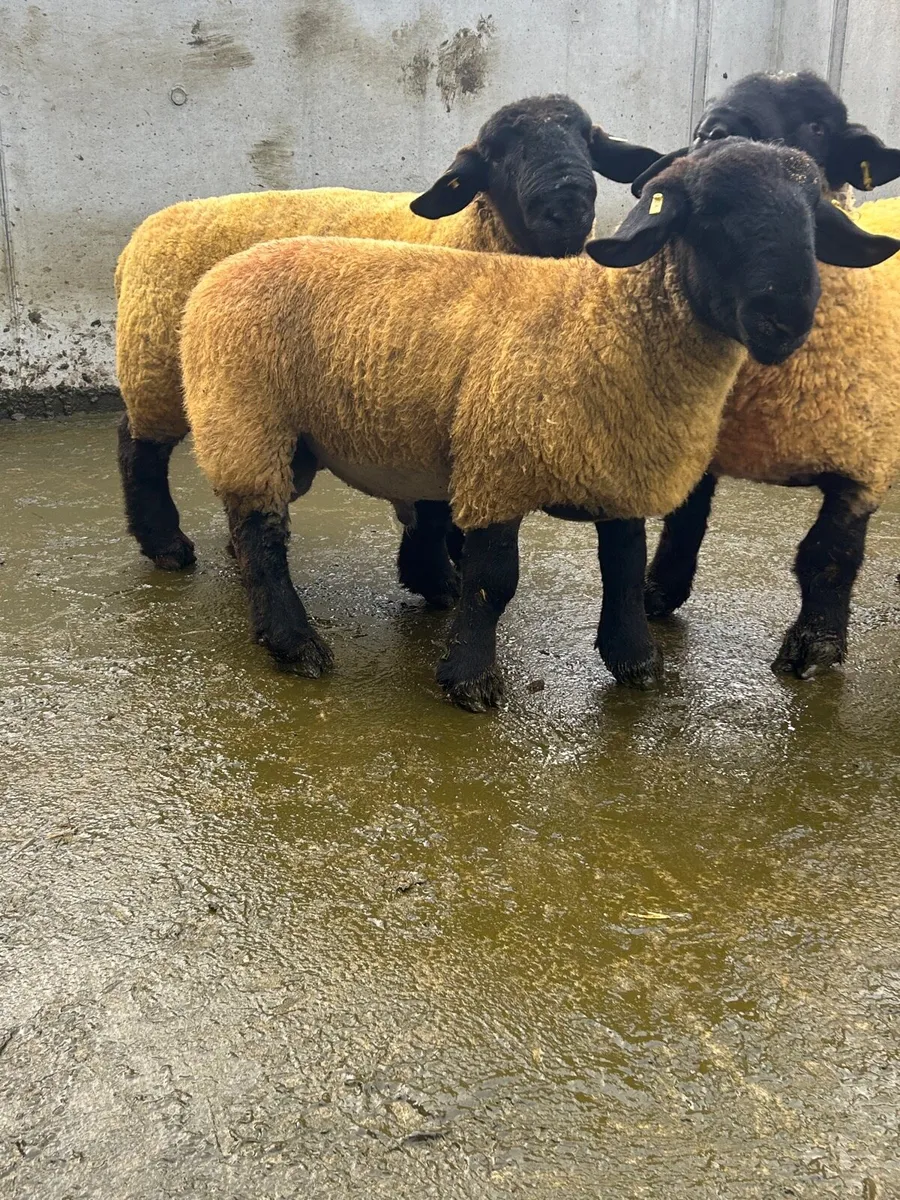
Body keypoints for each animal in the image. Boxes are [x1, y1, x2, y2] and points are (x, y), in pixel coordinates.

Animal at [114, 94, 662, 587]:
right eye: (497, 153)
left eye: (587, 141)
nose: (567, 205)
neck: (469, 235)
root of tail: (136, 242)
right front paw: (436, 575)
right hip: (161, 361)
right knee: (139, 447)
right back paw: (166, 545)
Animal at [177, 138, 898, 710]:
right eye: (711, 219)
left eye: (814, 221)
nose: (788, 322)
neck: (597, 321)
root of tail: (219, 274)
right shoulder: (497, 466)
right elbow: (494, 581)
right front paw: (470, 681)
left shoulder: (617, 469)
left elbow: (624, 568)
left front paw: (636, 663)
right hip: (246, 419)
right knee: (265, 537)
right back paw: (295, 644)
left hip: (281, 439)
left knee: (251, 528)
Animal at [617, 73, 900, 679]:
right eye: (708, 116)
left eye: (818, 124)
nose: (717, 129)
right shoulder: (704, 444)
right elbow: (684, 524)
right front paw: (657, 594)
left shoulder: (865, 461)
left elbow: (829, 555)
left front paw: (815, 648)